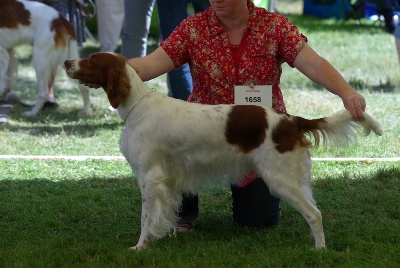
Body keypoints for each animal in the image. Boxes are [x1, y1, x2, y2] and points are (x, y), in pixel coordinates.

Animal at [64, 52, 382, 251]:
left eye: (92, 59)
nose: (67, 61)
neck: (137, 104)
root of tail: (290, 120)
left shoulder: (149, 176)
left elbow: (145, 217)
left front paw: (140, 246)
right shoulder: (166, 180)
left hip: (281, 179)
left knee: (314, 214)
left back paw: (320, 250)